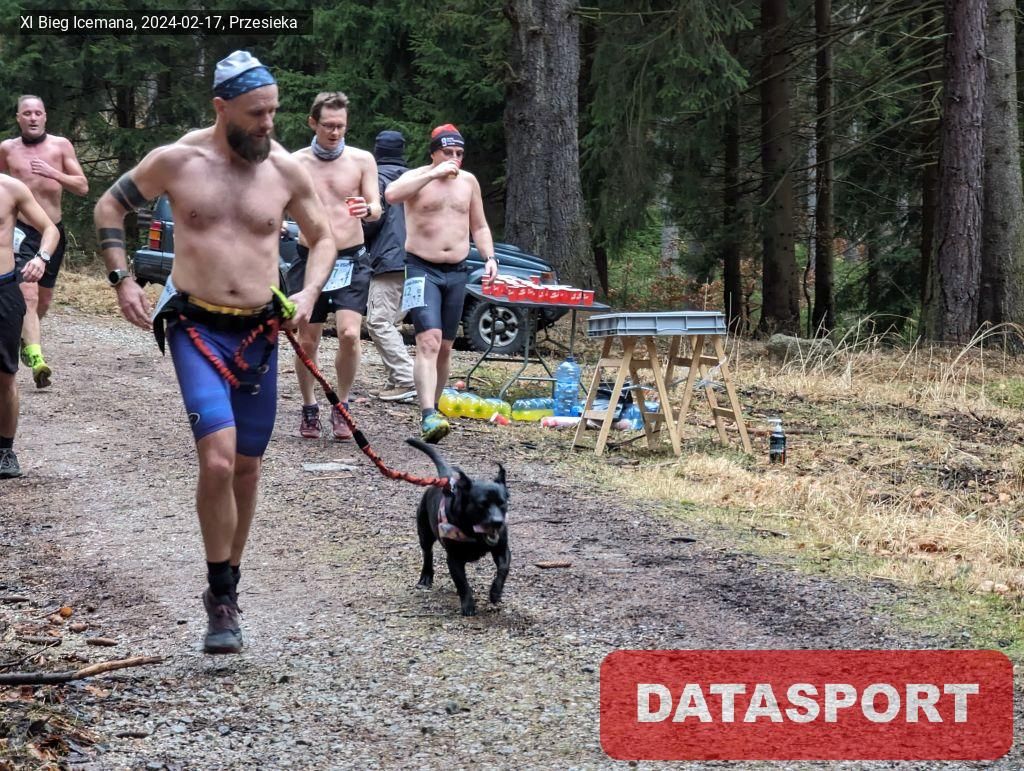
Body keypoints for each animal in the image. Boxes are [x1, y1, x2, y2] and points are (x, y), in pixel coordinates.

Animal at [407, 438, 510, 616]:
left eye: (502, 503)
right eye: (482, 505)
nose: (497, 522)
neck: (474, 534)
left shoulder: (501, 549)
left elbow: (503, 568)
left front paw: (495, 592)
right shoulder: (454, 558)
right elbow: (462, 583)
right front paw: (468, 605)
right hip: (424, 533)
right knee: (427, 553)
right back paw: (426, 576)